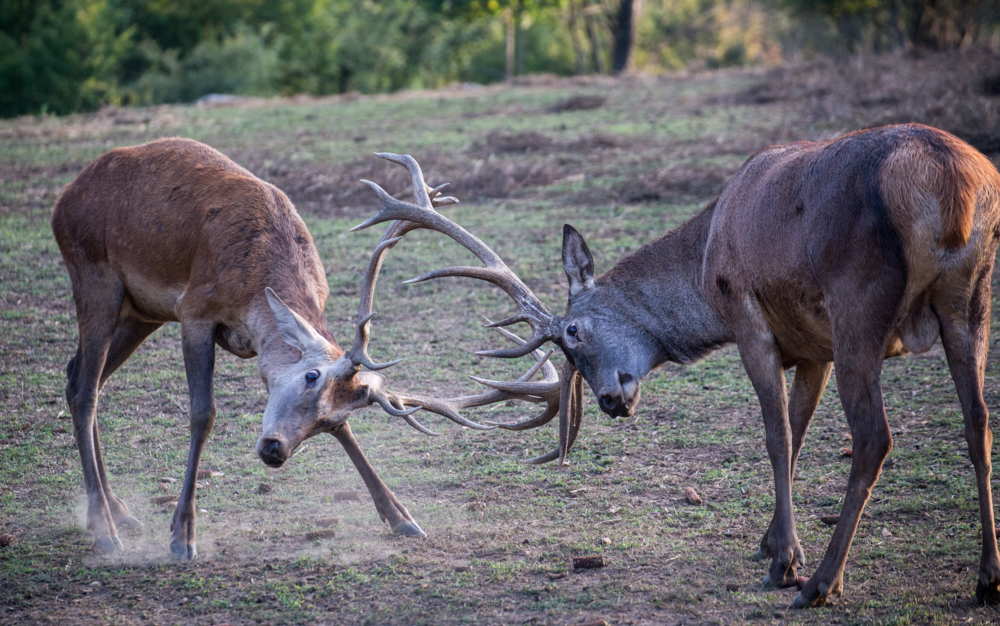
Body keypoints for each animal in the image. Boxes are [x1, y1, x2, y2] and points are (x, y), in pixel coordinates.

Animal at [50, 137, 560, 560]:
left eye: (327, 421)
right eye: (310, 375)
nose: (274, 449)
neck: (253, 290)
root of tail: (64, 199)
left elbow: (351, 439)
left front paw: (402, 518)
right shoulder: (195, 311)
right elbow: (202, 413)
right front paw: (182, 536)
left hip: (142, 312)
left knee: (77, 375)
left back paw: (118, 511)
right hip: (95, 276)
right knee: (86, 388)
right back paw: (104, 530)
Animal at [354, 125, 1000, 608]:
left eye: (573, 332)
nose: (610, 401)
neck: (704, 262)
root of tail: (952, 185)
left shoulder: (750, 317)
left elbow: (776, 435)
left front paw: (784, 562)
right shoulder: (812, 345)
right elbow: (797, 431)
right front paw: (769, 542)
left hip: (858, 302)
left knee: (874, 438)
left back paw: (819, 584)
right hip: (969, 300)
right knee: (978, 422)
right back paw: (987, 578)